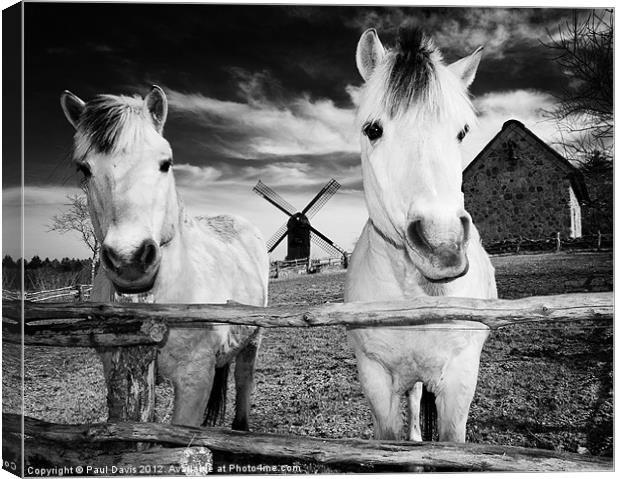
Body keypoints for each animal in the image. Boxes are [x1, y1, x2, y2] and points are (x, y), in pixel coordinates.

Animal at [60, 85, 268, 428]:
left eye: (165, 163)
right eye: (84, 168)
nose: (129, 259)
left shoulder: (195, 379)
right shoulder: (118, 373)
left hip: (253, 341)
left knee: (244, 379)